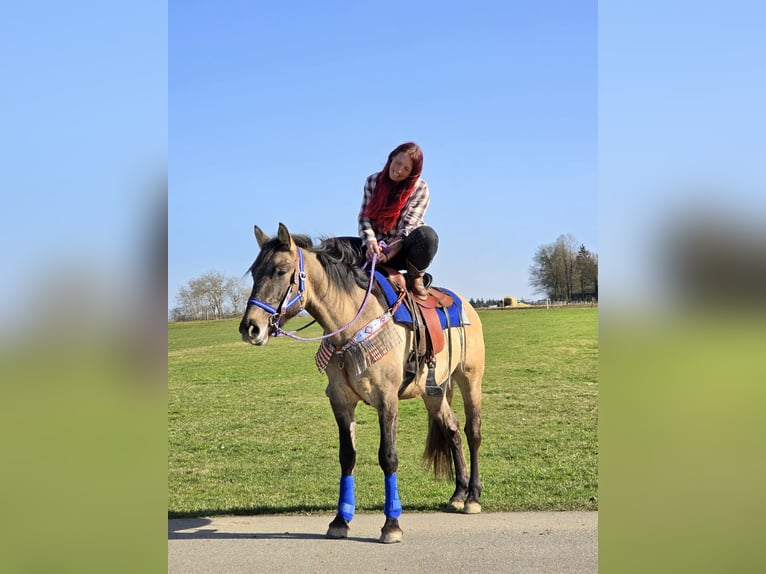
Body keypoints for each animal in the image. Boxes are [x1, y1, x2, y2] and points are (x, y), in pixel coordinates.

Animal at [239, 223, 485, 544]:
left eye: (281, 270)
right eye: (255, 272)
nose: (250, 327)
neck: (351, 327)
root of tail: (464, 303)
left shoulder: (387, 400)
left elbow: (388, 457)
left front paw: (391, 524)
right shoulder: (341, 402)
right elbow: (347, 457)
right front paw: (340, 520)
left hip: (470, 379)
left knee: (472, 432)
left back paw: (473, 497)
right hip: (434, 391)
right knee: (453, 430)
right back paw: (458, 493)